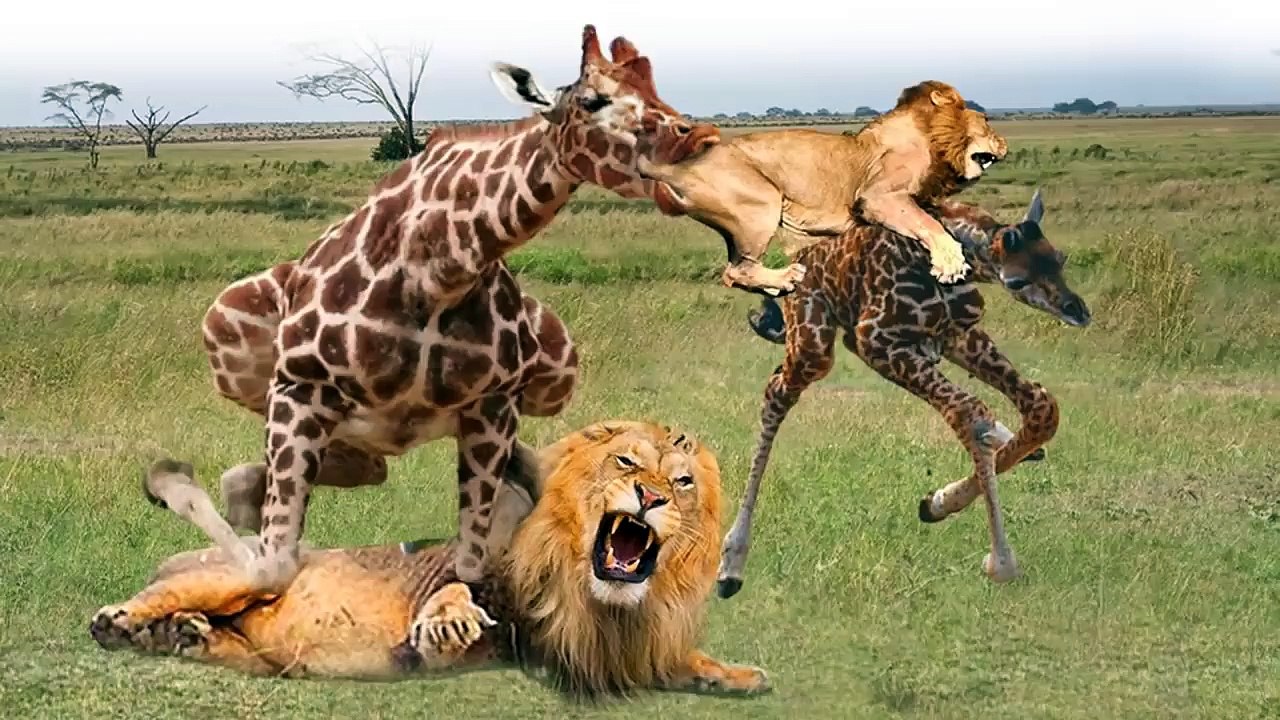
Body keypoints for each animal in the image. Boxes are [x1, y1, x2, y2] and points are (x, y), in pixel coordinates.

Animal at [88, 420, 770, 698]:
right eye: (626, 462)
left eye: (682, 480)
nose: (651, 497)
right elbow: (456, 592)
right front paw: (444, 626)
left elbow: (679, 661)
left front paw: (738, 676)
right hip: (231, 577)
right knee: (168, 594)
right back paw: (122, 620)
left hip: (261, 652)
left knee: (214, 637)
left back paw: (182, 636)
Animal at [198, 25, 722, 594]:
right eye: (592, 101)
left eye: (654, 89)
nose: (696, 141)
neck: (439, 270)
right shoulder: (298, 388)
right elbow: (274, 565)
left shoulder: (494, 406)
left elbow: (471, 564)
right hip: (226, 334)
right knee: (303, 473)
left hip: (557, 371)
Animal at [637, 80, 1009, 297]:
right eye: (987, 121)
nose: (1004, 144)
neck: (934, 142)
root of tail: (681, 166)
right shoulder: (876, 197)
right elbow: (929, 224)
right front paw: (950, 263)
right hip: (761, 204)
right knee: (735, 271)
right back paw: (786, 278)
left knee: (737, 269)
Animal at [715, 188, 1092, 599]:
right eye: (1019, 280)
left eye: (1059, 258)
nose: (1077, 311)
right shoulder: (876, 341)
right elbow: (969, 412)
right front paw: (1000, 561)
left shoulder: (958, 334)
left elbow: (1042, 406)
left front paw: (937, 501)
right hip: (813, 344)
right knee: (775, 392)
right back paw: (730, 565)